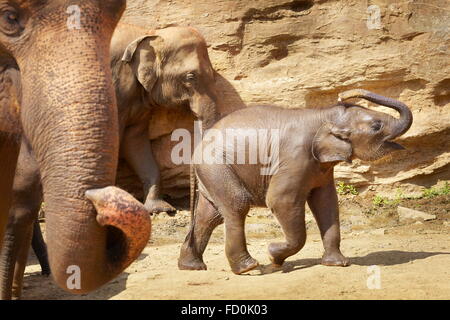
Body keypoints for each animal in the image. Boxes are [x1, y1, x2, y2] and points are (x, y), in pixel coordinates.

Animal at [178, 89, 412, 274]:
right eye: (376, 126)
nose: (342, 95)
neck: (324, 113)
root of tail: (197, 146)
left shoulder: (321, 167)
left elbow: (326, 203)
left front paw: (338, 264)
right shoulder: (295, 156)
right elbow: (280, 201)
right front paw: (273, 256)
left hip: (211, 173)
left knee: (209, 217)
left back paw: (192, 266)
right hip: (216, 167)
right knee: (236, 206)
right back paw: (248, 268)